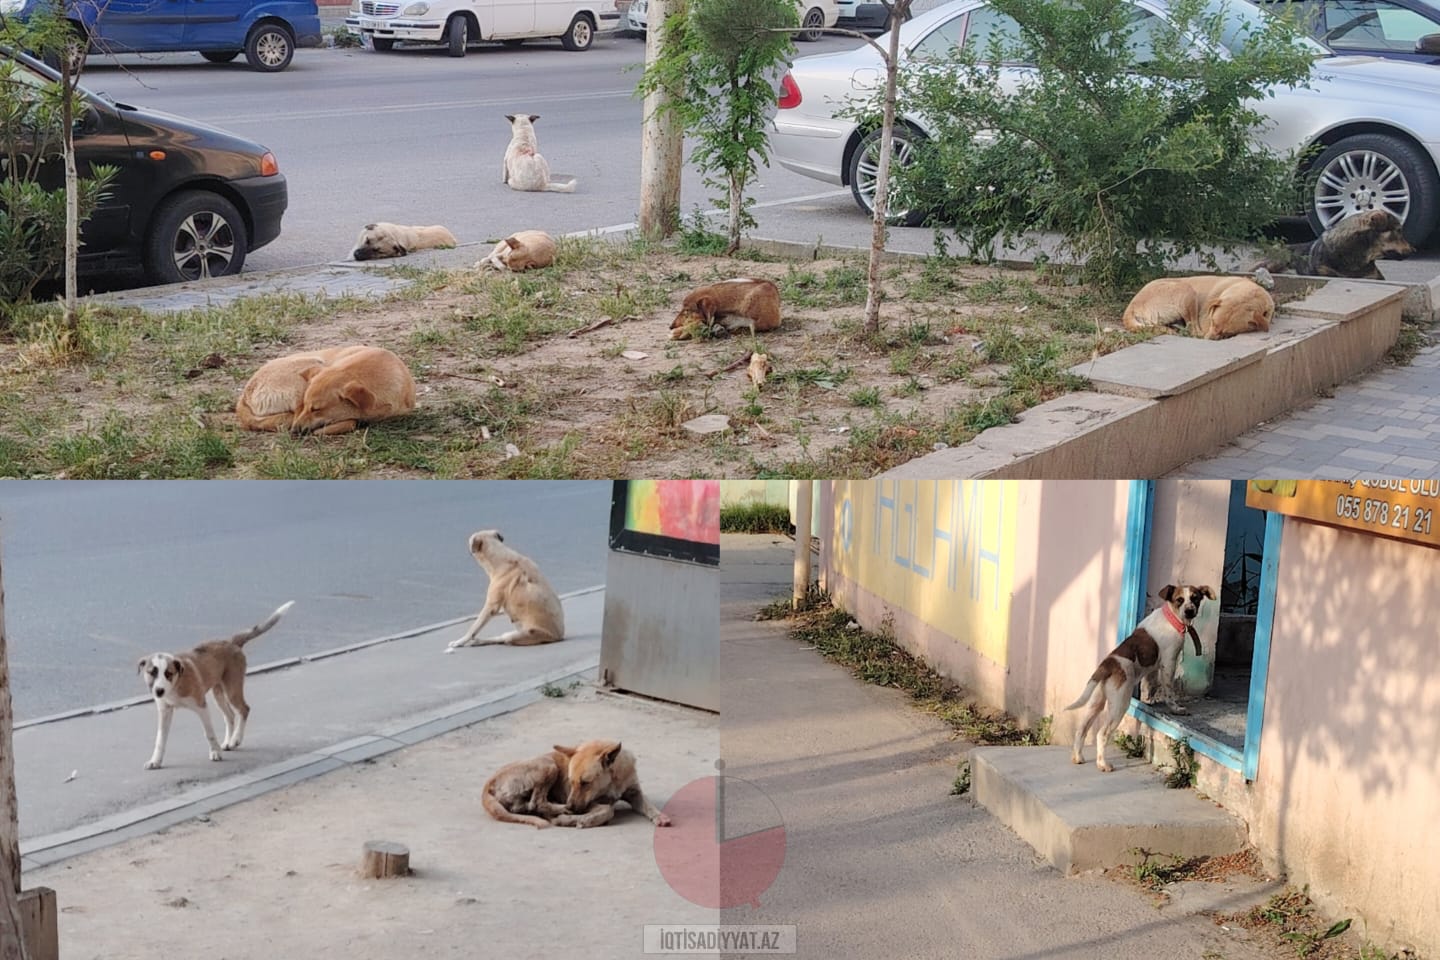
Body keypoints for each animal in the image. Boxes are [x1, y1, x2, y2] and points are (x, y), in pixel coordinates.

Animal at [138, 604, 295, 771]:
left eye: (168, 673)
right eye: (151, 672)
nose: (159, 691)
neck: (176, 684)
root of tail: (231, 642)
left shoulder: (202, 707)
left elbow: (209, 733)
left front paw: (215, 752)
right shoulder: (165, 711)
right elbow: (160, 740)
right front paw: (155, 761)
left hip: (232, 689)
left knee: (244, 709)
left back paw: (236, 740)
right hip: (218, 693)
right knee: (230, 715)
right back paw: (228, 742)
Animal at [478, 742, 668, 829]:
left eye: (585, 783)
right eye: (571, 781)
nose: (571, 807)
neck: (612, 781)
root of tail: (488, 785)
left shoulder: (634, 792)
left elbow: (648, 805)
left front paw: (660, 816)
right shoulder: (590, 803)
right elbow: (607, 810)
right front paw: (578, 820)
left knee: (529, 806)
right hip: (548, 765)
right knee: (537, 802)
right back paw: (560, 812)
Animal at [1065, 587, 1209, 771]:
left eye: (1195, 598)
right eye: (1179, 600)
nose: (1190, 611)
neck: (1170, 617)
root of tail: (1107, 664)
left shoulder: (1153, 668)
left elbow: (1150, 684)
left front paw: (1149, 700)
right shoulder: (1169, 663)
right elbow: (1169, 691)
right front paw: (1175, 708)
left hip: (1096, 702)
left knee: (1081, 729)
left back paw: (1078, 757)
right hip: (1119, 704)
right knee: (1102, 734)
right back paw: (1103, 764)